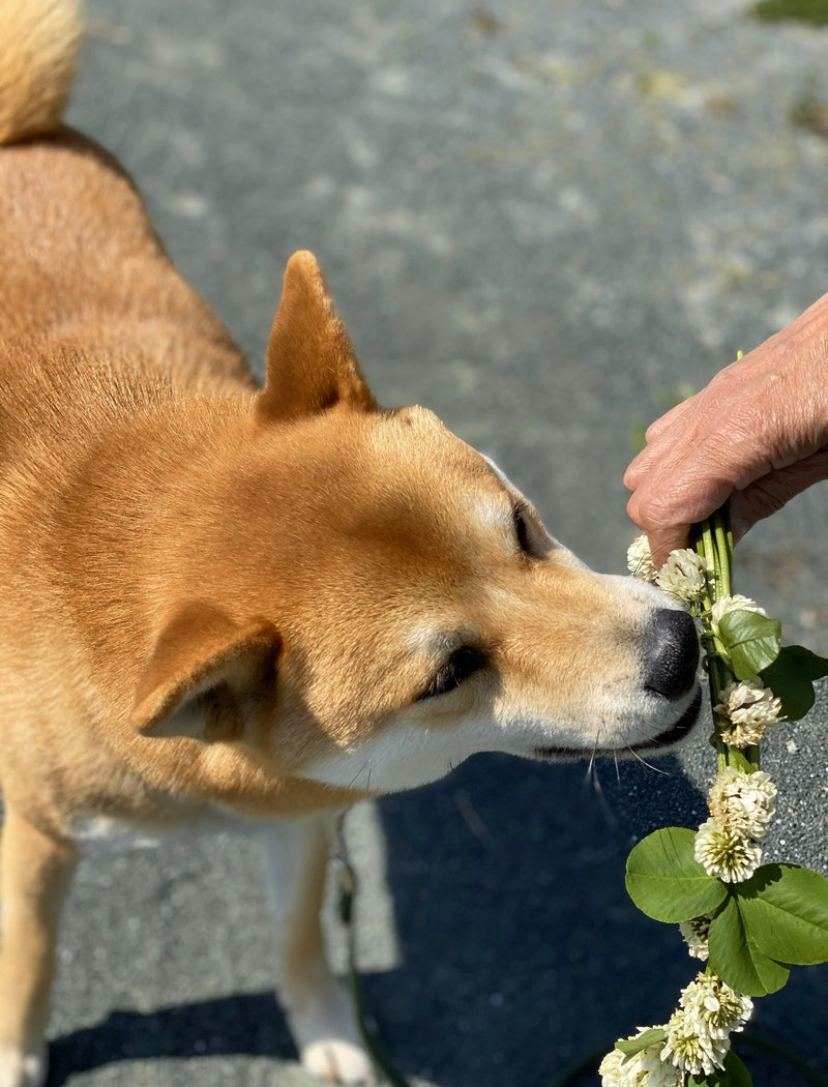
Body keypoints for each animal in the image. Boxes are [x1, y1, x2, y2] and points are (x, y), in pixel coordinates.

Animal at [0, 4, 699, 1082]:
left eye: (520, 523)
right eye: (449, 672)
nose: (677, 650)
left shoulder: (301, 813)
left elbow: (299, 939)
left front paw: (328, 1029)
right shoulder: (41, 833)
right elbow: (31, 956)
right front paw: (18, 1050)